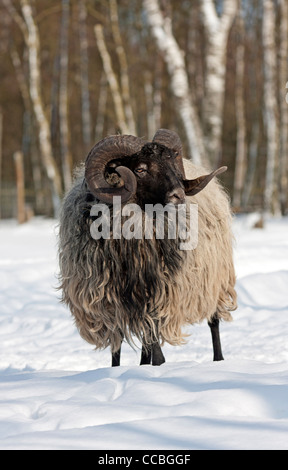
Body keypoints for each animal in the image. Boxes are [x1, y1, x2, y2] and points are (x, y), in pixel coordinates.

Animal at [58, 129, 236, 368]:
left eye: (172, 163)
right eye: (140, 169)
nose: (179, 195)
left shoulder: (160, 291)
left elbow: (153, 331)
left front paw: (158, 365)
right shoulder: (108, 299)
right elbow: (117, 344)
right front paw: (117, 370)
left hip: (214, 278)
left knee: (213, 322)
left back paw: (219, 360)